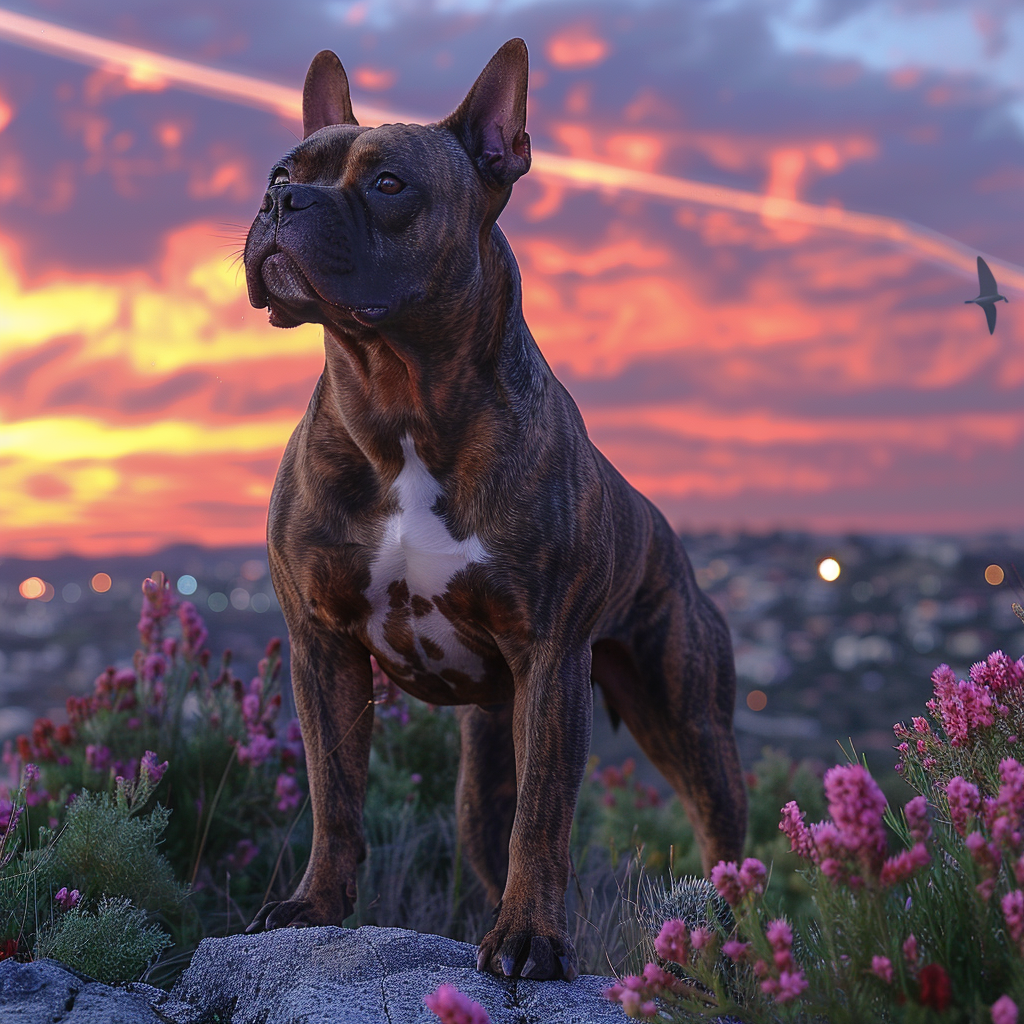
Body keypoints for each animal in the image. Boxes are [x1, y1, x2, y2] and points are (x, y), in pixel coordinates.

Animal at [243, 39, 749, 983]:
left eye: (389, 183)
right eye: (282, 172)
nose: (280, 201)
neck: (399, 398)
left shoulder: (551, 658)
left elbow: (545, 820)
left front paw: (531, 940)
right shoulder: (322, 648)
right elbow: (336, 795)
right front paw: (314, 905)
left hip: (691, 722)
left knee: (721, 838)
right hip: (487, 760)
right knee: (490, 831)